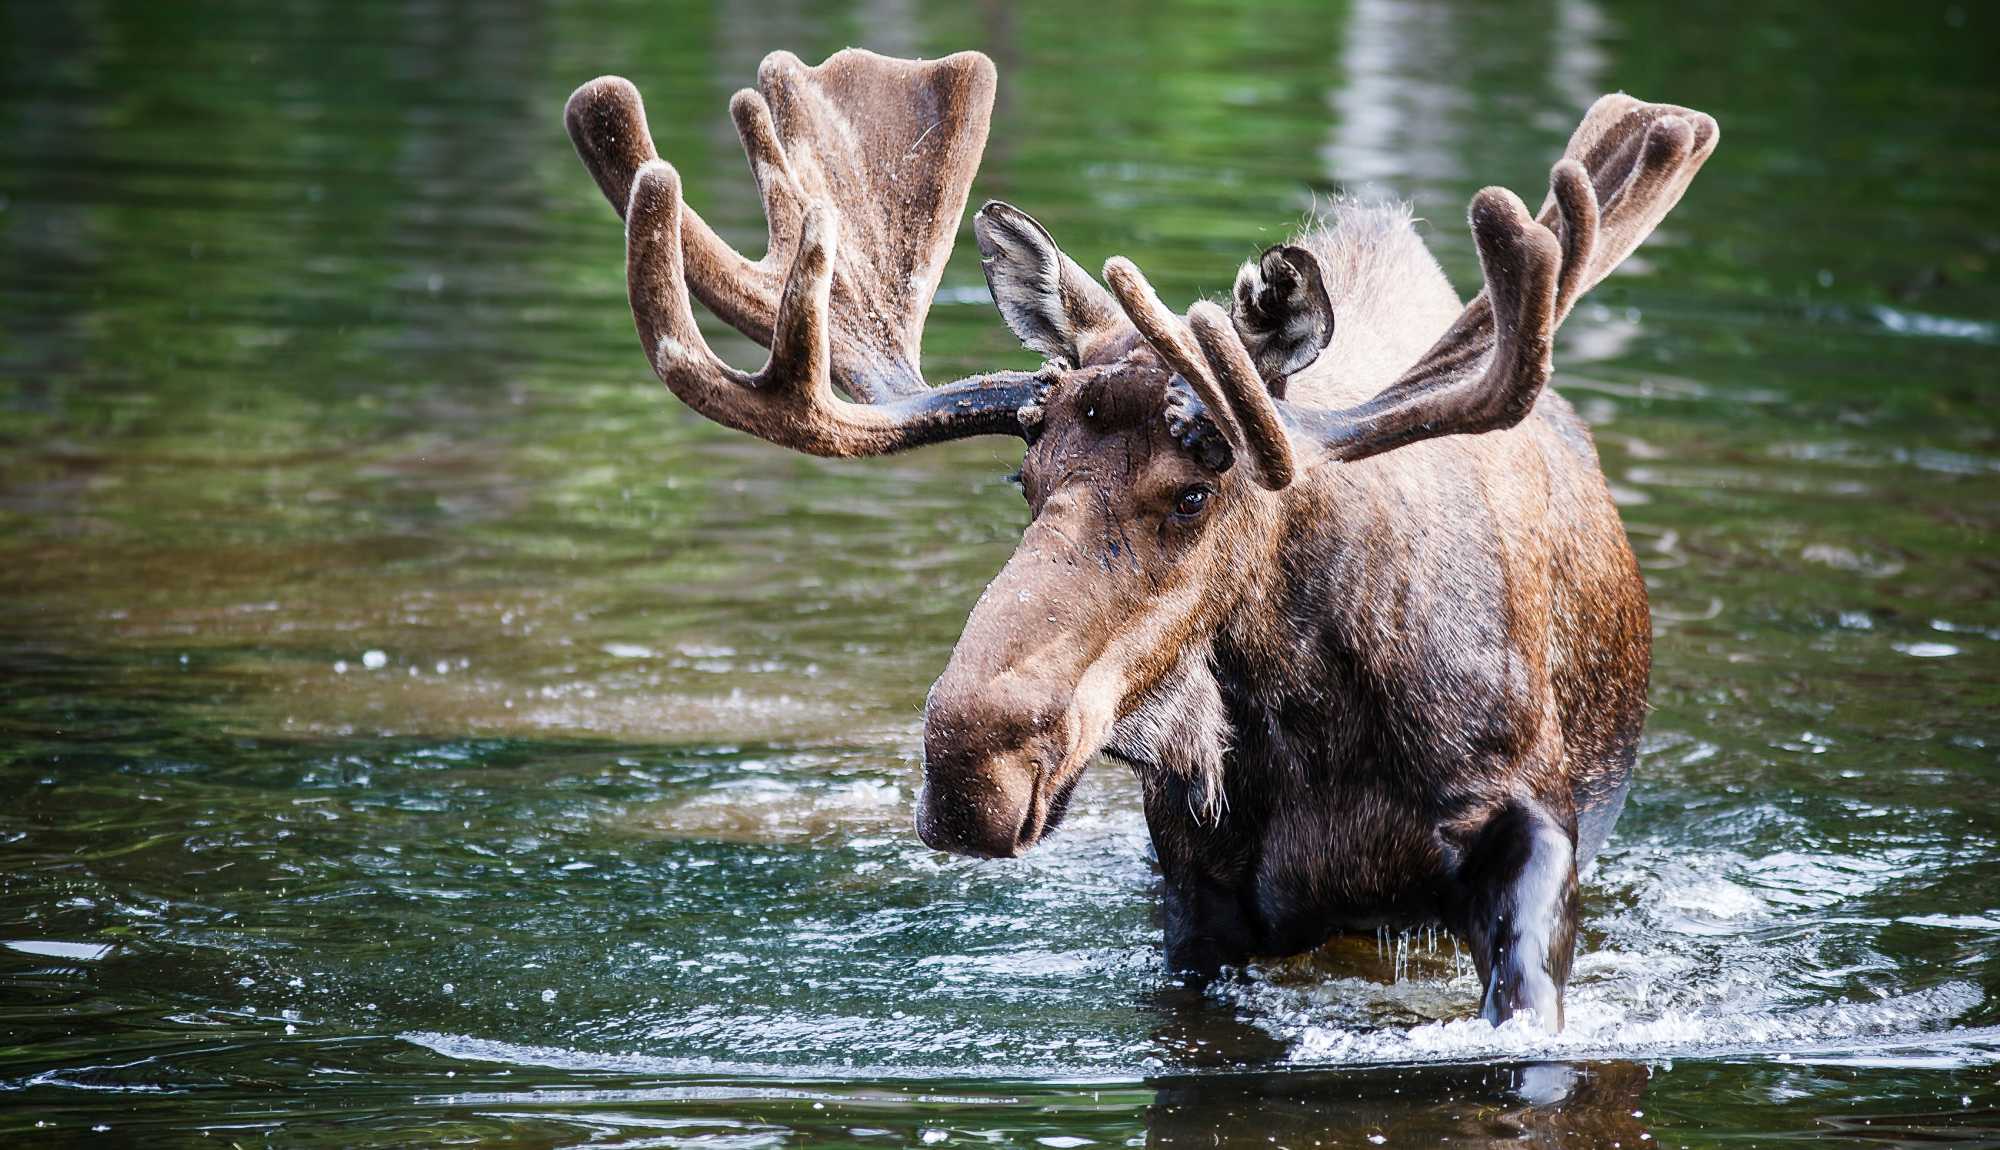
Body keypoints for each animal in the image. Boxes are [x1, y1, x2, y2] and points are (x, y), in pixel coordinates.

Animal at [563, 49, 1716, 1031]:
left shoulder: (1530, 826)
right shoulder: (1192, 890)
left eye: (1194, 492)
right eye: (1024, 479)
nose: (969, 766)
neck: (1319, 722)